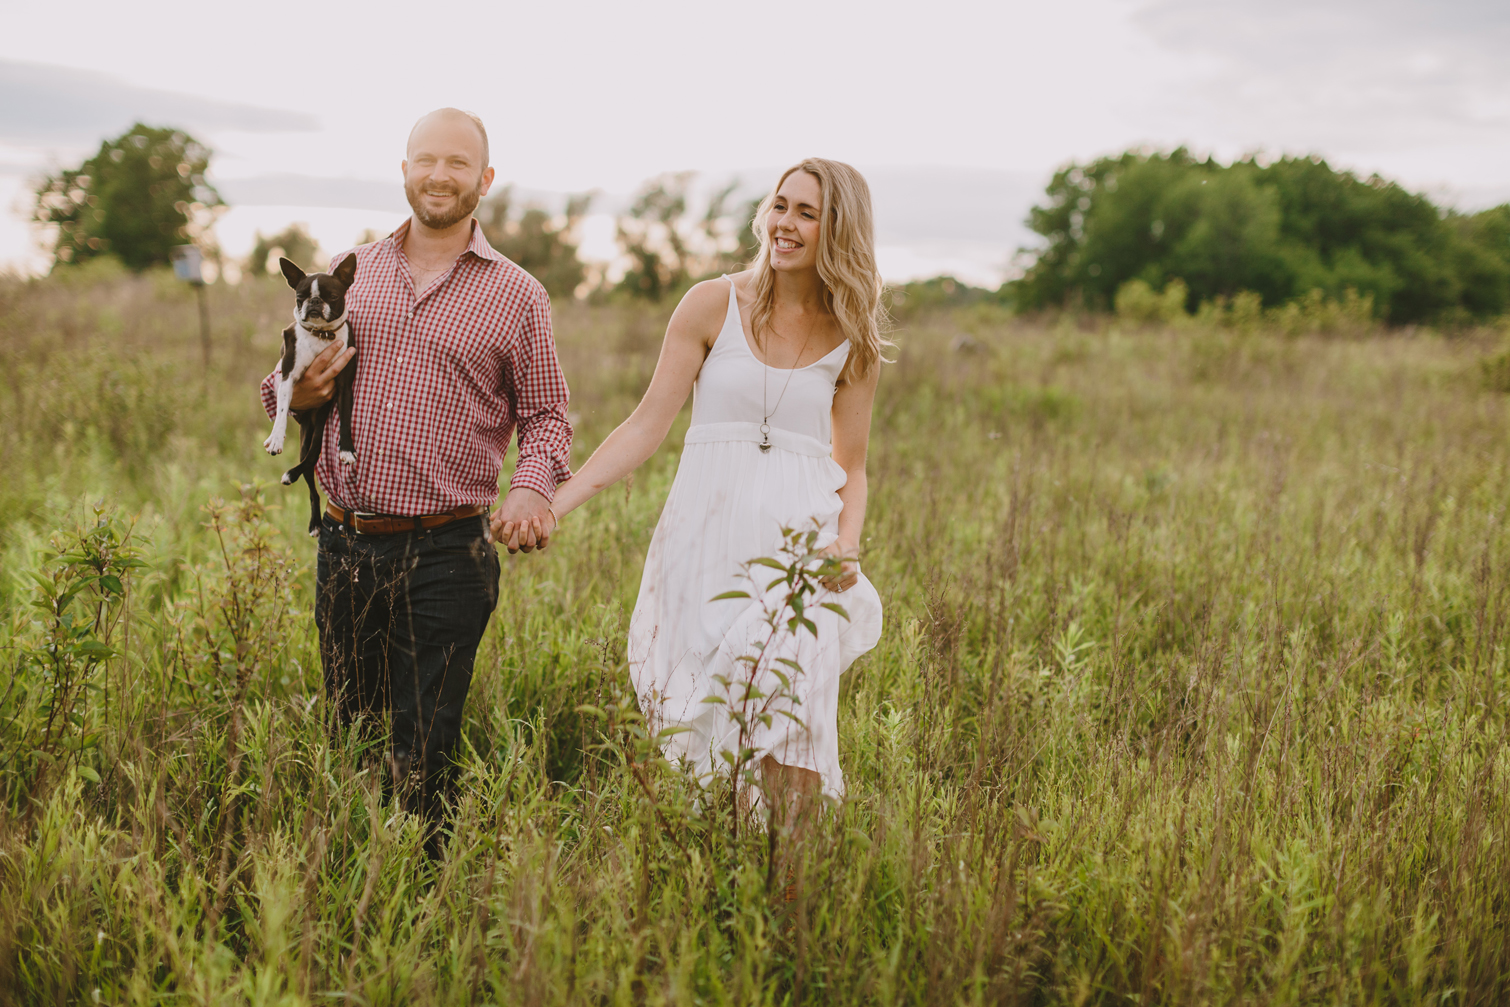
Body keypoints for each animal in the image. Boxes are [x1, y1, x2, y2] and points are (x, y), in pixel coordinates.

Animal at [264, 253, 357, 534]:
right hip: (305, 441)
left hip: (315, 436)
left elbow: (346, 419)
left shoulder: (344, 385)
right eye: (300, 296)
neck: (322, 336)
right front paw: (276, 439)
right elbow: (281, 409)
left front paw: (346, 450)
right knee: (313, 490)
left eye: (333, 296)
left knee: (312, 464)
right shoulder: (288, 377)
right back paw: (315, 521)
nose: (314, 302)